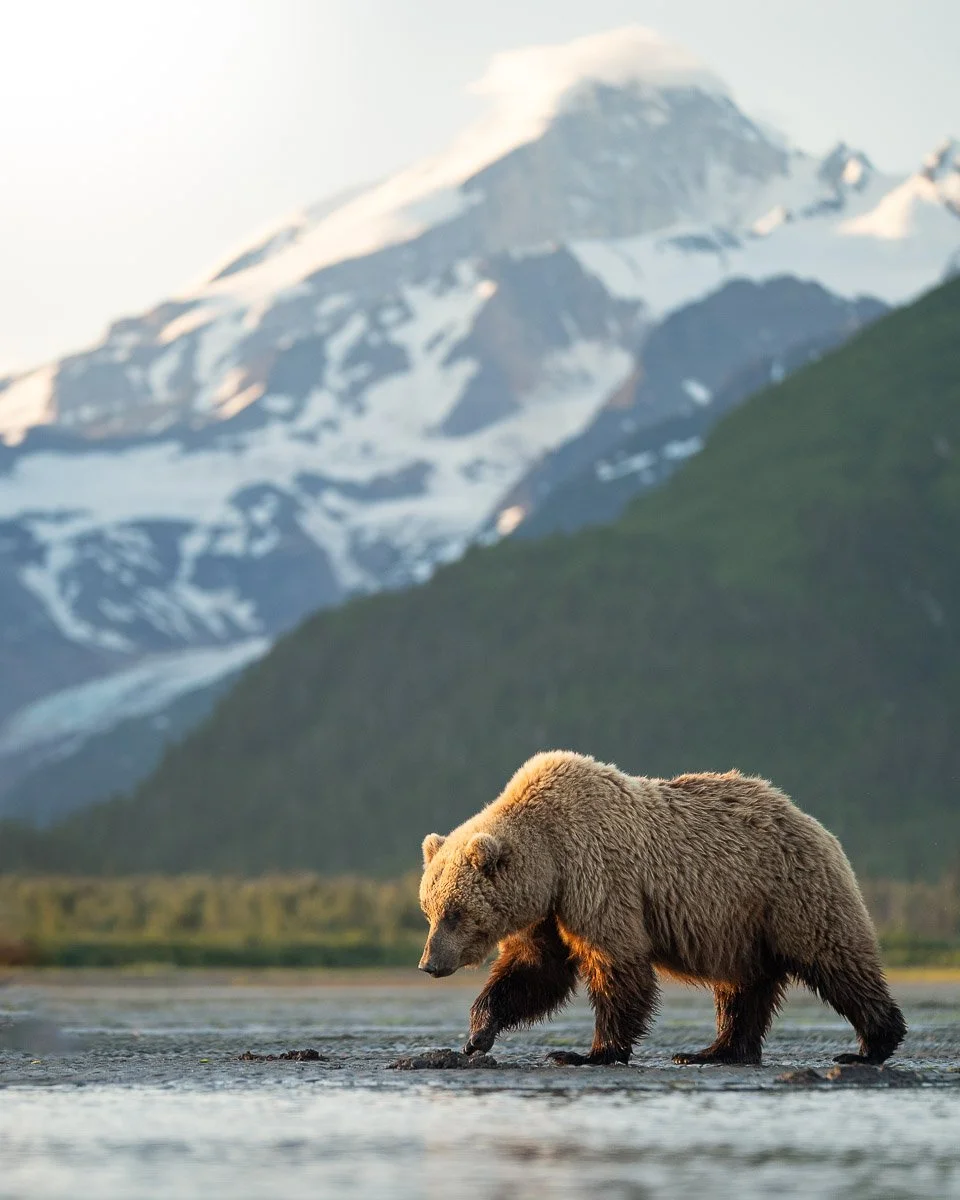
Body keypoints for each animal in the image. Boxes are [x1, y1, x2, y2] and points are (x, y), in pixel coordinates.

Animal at [418, 750, 906, 1067]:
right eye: (430, 909)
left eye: (455, 912)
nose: (428, 964)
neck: (550, 857)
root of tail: (811, 821)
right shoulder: (549, 911)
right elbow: (534, 971)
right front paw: (478, 1034)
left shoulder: (597, 879)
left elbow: (616, 963)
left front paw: (587, 1053)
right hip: (740, 923)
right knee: (743, 984)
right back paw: (715, 1051)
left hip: (789, 892)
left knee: (834, 959)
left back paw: (872, 1045)